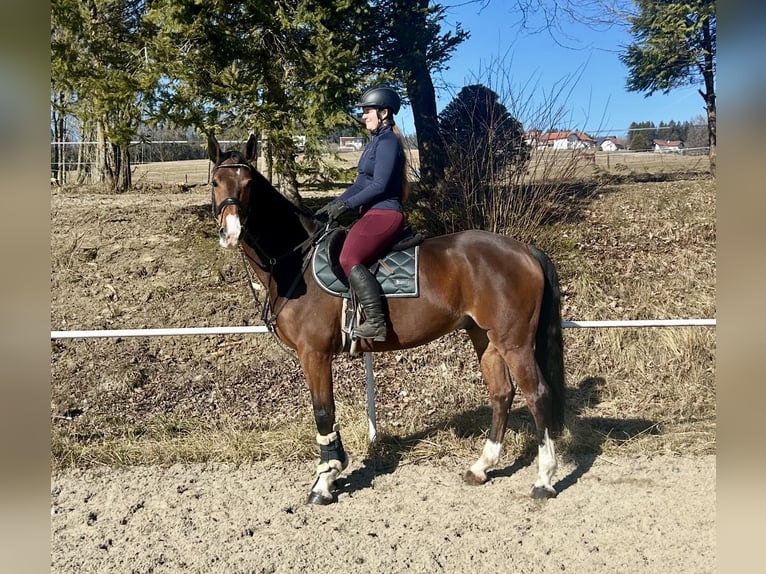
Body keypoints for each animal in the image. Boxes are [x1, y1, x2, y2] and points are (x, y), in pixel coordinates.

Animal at [207, 134, 568, 504]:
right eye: (215, 182)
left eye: (250, 184)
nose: (231, 232)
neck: (298, 261)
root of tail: (523, 249)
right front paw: (333, 471)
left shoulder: (314, 354)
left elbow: (323, 412)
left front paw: (325, 480)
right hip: (485, 337)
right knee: (502, 394)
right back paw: (482, 467)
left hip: (514, 341)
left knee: (537, 394)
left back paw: (544, 479)